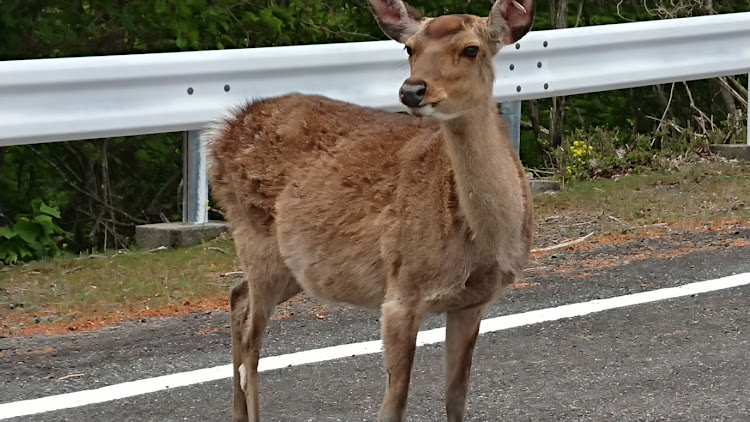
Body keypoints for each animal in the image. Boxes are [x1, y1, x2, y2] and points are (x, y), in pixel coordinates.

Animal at [206, 0, 536, 422]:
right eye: (409, 48)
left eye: (471, 49)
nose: (412, 90)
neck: (483, 239)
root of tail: (219, 137)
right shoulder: (401, 291)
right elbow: (395, 402)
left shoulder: (473, 302)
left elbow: (456, 397)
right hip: (254, 237)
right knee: (251, 345)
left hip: (289, 266)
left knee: (237, 297)